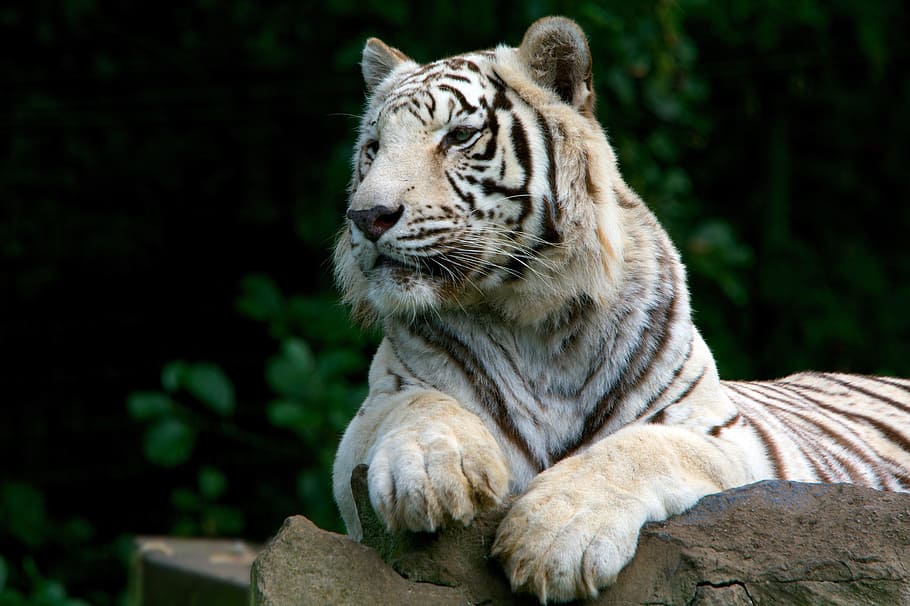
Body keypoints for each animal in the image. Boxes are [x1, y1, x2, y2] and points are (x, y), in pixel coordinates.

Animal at [331, 16, 910, 603]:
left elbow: (644, 447)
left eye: (458, 136)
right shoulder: (365, 428)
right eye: (373, 148)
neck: (532, 318)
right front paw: (433, 474)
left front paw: (554, 539)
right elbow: (414, 404)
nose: (367, 216)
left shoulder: (730, 438)